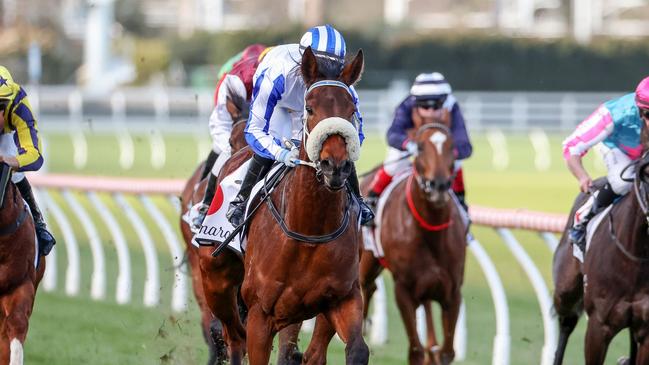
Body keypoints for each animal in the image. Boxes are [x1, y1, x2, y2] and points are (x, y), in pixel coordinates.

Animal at [360, 112, 466, 362]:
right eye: (420, 146)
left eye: (452, 146)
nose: (439, 185)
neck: (431, 230)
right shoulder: (404, 290)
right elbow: (415, 352)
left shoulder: (452, 292)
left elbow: (446, 352)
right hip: (365, 263)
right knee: (364, 287)